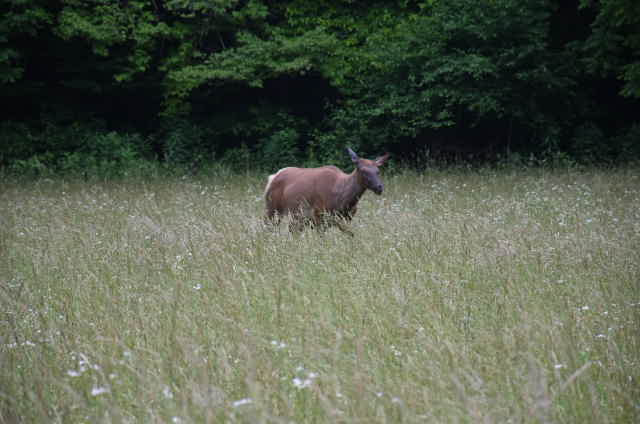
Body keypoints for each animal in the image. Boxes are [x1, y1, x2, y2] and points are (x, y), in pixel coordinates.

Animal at [262, 148, 390, 235]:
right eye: (363, 171)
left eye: (378, 171)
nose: (379, 187)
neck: (344, 201)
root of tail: (272, 177)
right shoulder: (319, 216)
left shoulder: (346, 218)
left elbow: (351, 234)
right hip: (272, 208)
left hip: (295, 216)